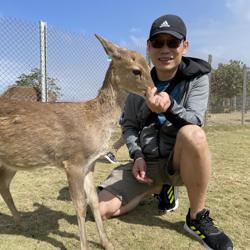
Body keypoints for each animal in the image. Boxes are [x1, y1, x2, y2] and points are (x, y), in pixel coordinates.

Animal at [0, 35, 152, 250]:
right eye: (136, 70)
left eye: (149, 67)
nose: (153, 90)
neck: (94, 120)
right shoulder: (73, 161)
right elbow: (80, 205)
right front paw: (85, 245)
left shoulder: (90, 164)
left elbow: (94, 201)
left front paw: (107, 243)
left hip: (10, 163)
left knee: (3, 185)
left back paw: (22, 224)